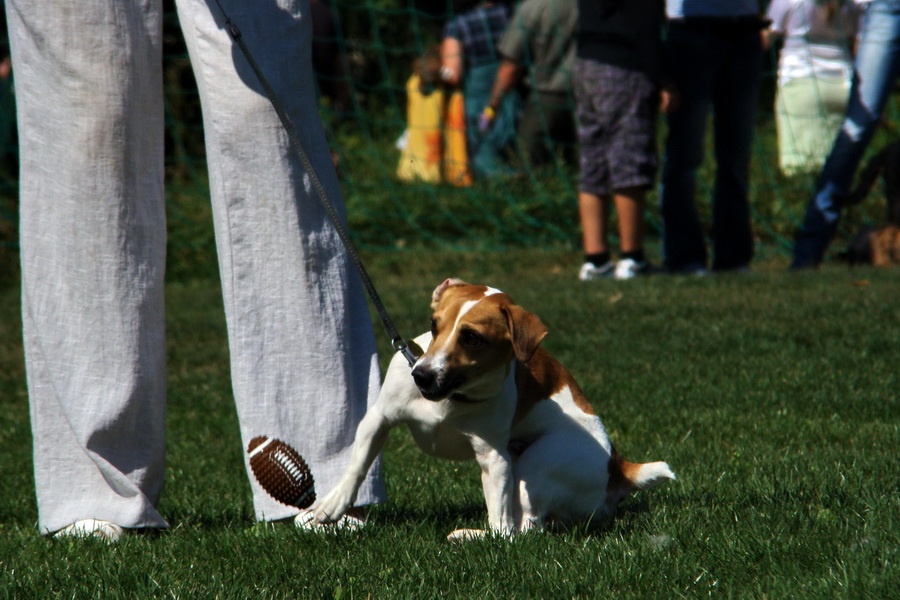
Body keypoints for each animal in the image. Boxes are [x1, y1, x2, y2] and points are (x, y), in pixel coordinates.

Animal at [316, 278, 676, 540]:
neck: (450, 398)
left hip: (536, 464)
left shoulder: (495, 459)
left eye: (472, 338)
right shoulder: (378, 418)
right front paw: (333, 503)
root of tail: (620, 467)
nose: (421, 375)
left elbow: (500, 522)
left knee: (515, 531)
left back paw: (470, 535)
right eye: (434, 325)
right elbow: (357, 465)